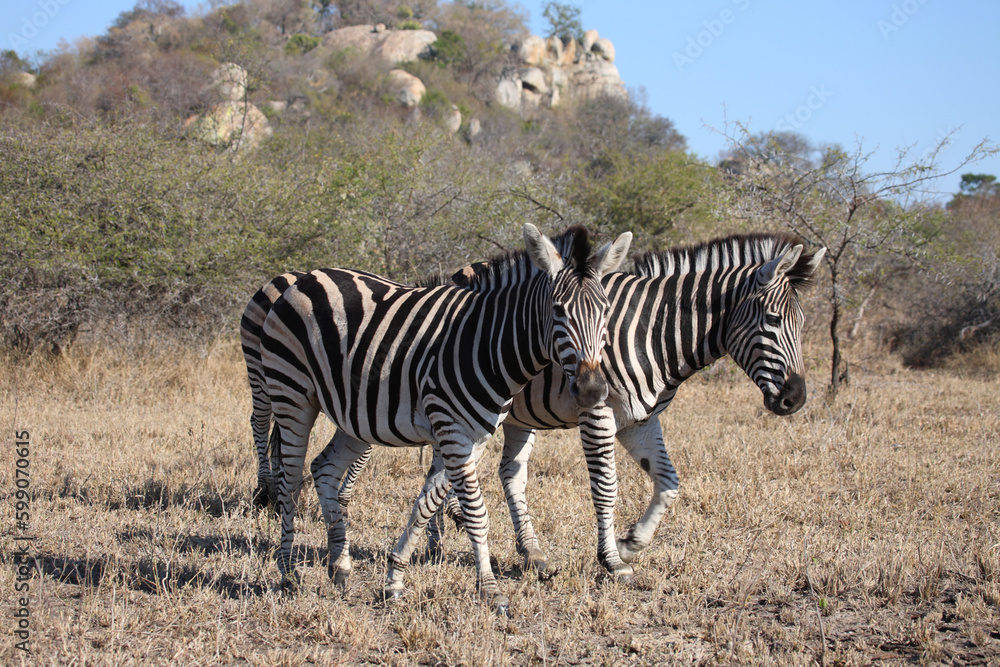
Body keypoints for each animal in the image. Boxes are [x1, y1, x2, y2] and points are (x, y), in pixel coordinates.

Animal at [257, 224, 632, 611]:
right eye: (558, 310)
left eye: (606, 311)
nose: (592, 390)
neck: (489, 344)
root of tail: (306, 277)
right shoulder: (452, 430)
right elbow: (476, 513)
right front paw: (490, 589)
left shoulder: (473, 437)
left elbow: (426, 505)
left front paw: (394, 579)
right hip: (291, 395)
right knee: (289, 481)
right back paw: (287, 572)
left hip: (354, 414)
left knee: (324, 469)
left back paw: (339, 566)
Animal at [351, 232, 825, 580]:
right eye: (773, 321)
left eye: (803, 323)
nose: (795, 399)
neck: (653, 332)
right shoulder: (598, 412)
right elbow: (606, 486)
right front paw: (611, 559)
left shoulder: (640, 419)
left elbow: (669, 482)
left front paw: (631, 542)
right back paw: (444, 537)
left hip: (509, 414)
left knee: (504, 473)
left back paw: (520, 551)